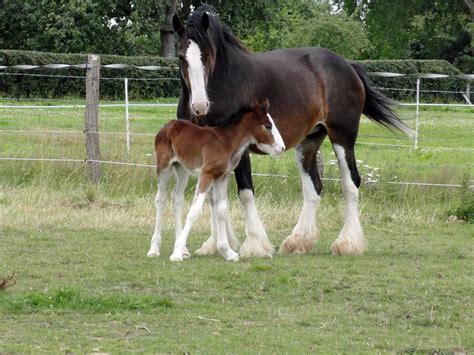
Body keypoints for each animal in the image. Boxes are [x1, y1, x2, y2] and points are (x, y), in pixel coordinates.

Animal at [172, 6, 412, 258]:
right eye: (181, 57)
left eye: (207, 56)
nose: (200, 105)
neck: (225, 83)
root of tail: (348, 66)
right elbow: (213, 197)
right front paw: (215, 243)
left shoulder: (239, 149)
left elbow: (245, 192)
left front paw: (255, 244)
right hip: (308, 142)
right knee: (313, 188)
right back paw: (299, 241)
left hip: (343, 137)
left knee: (350, 184)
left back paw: (348, 243)